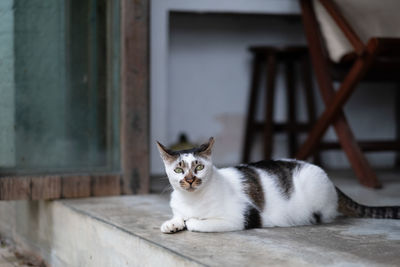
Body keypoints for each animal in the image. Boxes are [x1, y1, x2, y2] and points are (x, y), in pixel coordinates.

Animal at [157, 137, 400, 233]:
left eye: (199, 167)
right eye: (178, 170)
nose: (190, 180)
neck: (192, 199)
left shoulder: (241, 216)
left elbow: (197, 223)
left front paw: (189, 222)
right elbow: (178, 216)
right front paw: (172, 223)